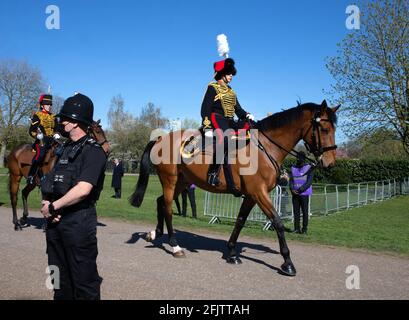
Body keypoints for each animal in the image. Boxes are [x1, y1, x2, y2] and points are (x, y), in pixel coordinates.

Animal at [131, 101, 338, 276]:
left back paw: (155, 233)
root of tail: (160, 138)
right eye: (325, 128)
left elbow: (240, 221)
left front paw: (231, 253)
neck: (265, 147)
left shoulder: (252, 196)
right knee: (167, 208)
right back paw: (175, 246)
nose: (330, 163)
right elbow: (277, 222)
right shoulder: (259, 193)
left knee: (160, 202)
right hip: (170, 180)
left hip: (181, 182)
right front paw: (287, 262)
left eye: (334, 128)